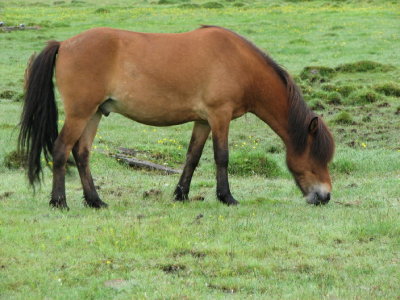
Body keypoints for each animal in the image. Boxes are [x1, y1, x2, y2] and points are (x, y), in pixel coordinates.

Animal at [19, 25, 334, 209]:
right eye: (317, 158)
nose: (325, 196)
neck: (238, 62)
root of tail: (64, 43)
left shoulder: (203, 121)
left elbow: (192, 157)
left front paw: (181, 194)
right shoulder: (220, 116)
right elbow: (222, 157)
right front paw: (227, 197)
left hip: (94, 113)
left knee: (81, 153)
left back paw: (95, 201)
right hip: (80, 112)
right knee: (61, 150)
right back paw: (59, 202)